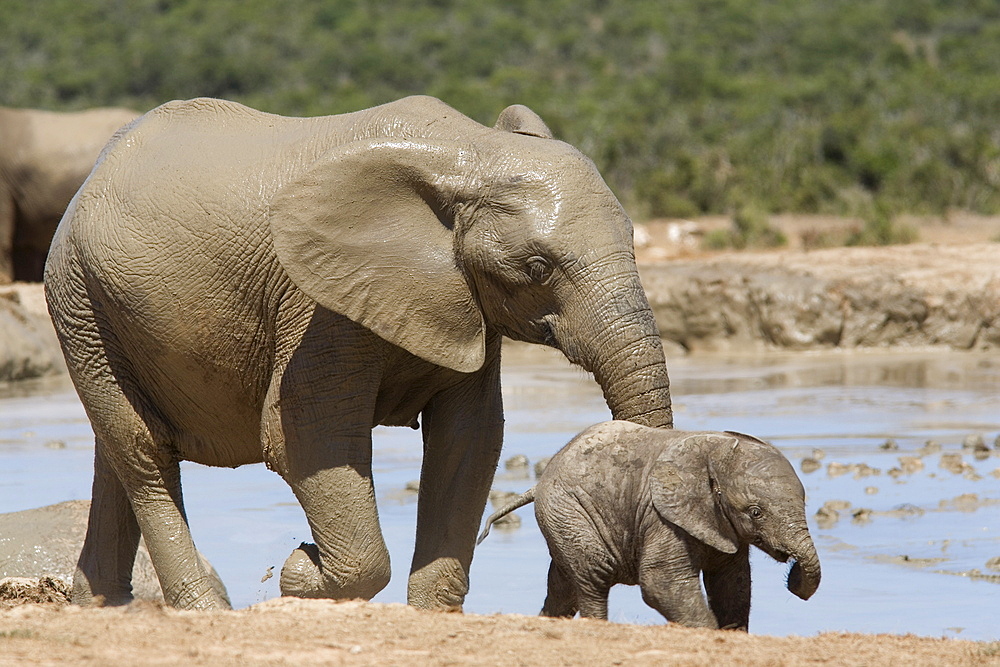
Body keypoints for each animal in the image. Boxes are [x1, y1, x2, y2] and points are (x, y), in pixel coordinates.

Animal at [45, 94, 672, 612]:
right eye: (538, 268)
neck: (470, 153)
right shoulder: (316, 305)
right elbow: (304, 436)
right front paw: (300, 570)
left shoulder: (466, 302)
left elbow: (469, 437)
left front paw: (428, 613)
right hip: (80, 303)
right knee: (144, 453)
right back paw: (202, 609)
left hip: (97, 311)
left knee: (116, 453)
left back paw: (101, 605)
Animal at [478, 422, 820, 632]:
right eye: (755, 512)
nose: (792, 575)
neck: (714, 452)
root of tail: (540, 481)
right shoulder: (661, 517)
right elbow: (660, 583)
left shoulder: (722, 525)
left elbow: (732, 584)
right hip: (567, 509)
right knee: (592, 575)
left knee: (563, 587)